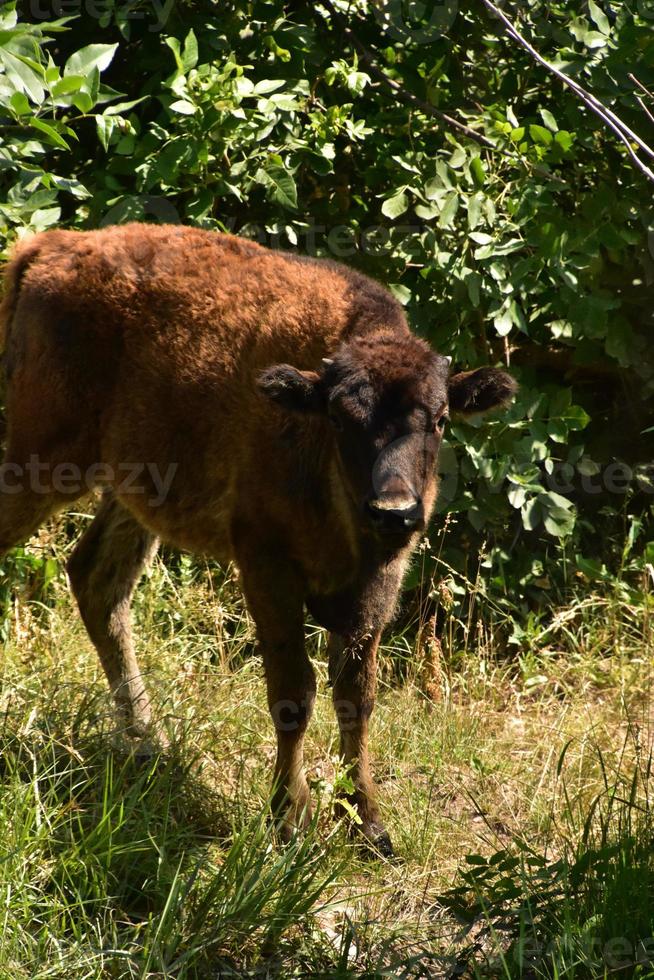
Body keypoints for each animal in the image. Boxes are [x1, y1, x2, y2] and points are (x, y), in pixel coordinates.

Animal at [0, 226, 516, 852]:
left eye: (440, 419)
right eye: (339, 418)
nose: (393, 512)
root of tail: (48, 247)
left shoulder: (377, 588)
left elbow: (357, 696)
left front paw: (368, 824)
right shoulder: (267, 565)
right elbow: (294, 692)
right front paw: (290, 819)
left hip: (132, 489)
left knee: (98, 580)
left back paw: (149, 747)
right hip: (42, 462)